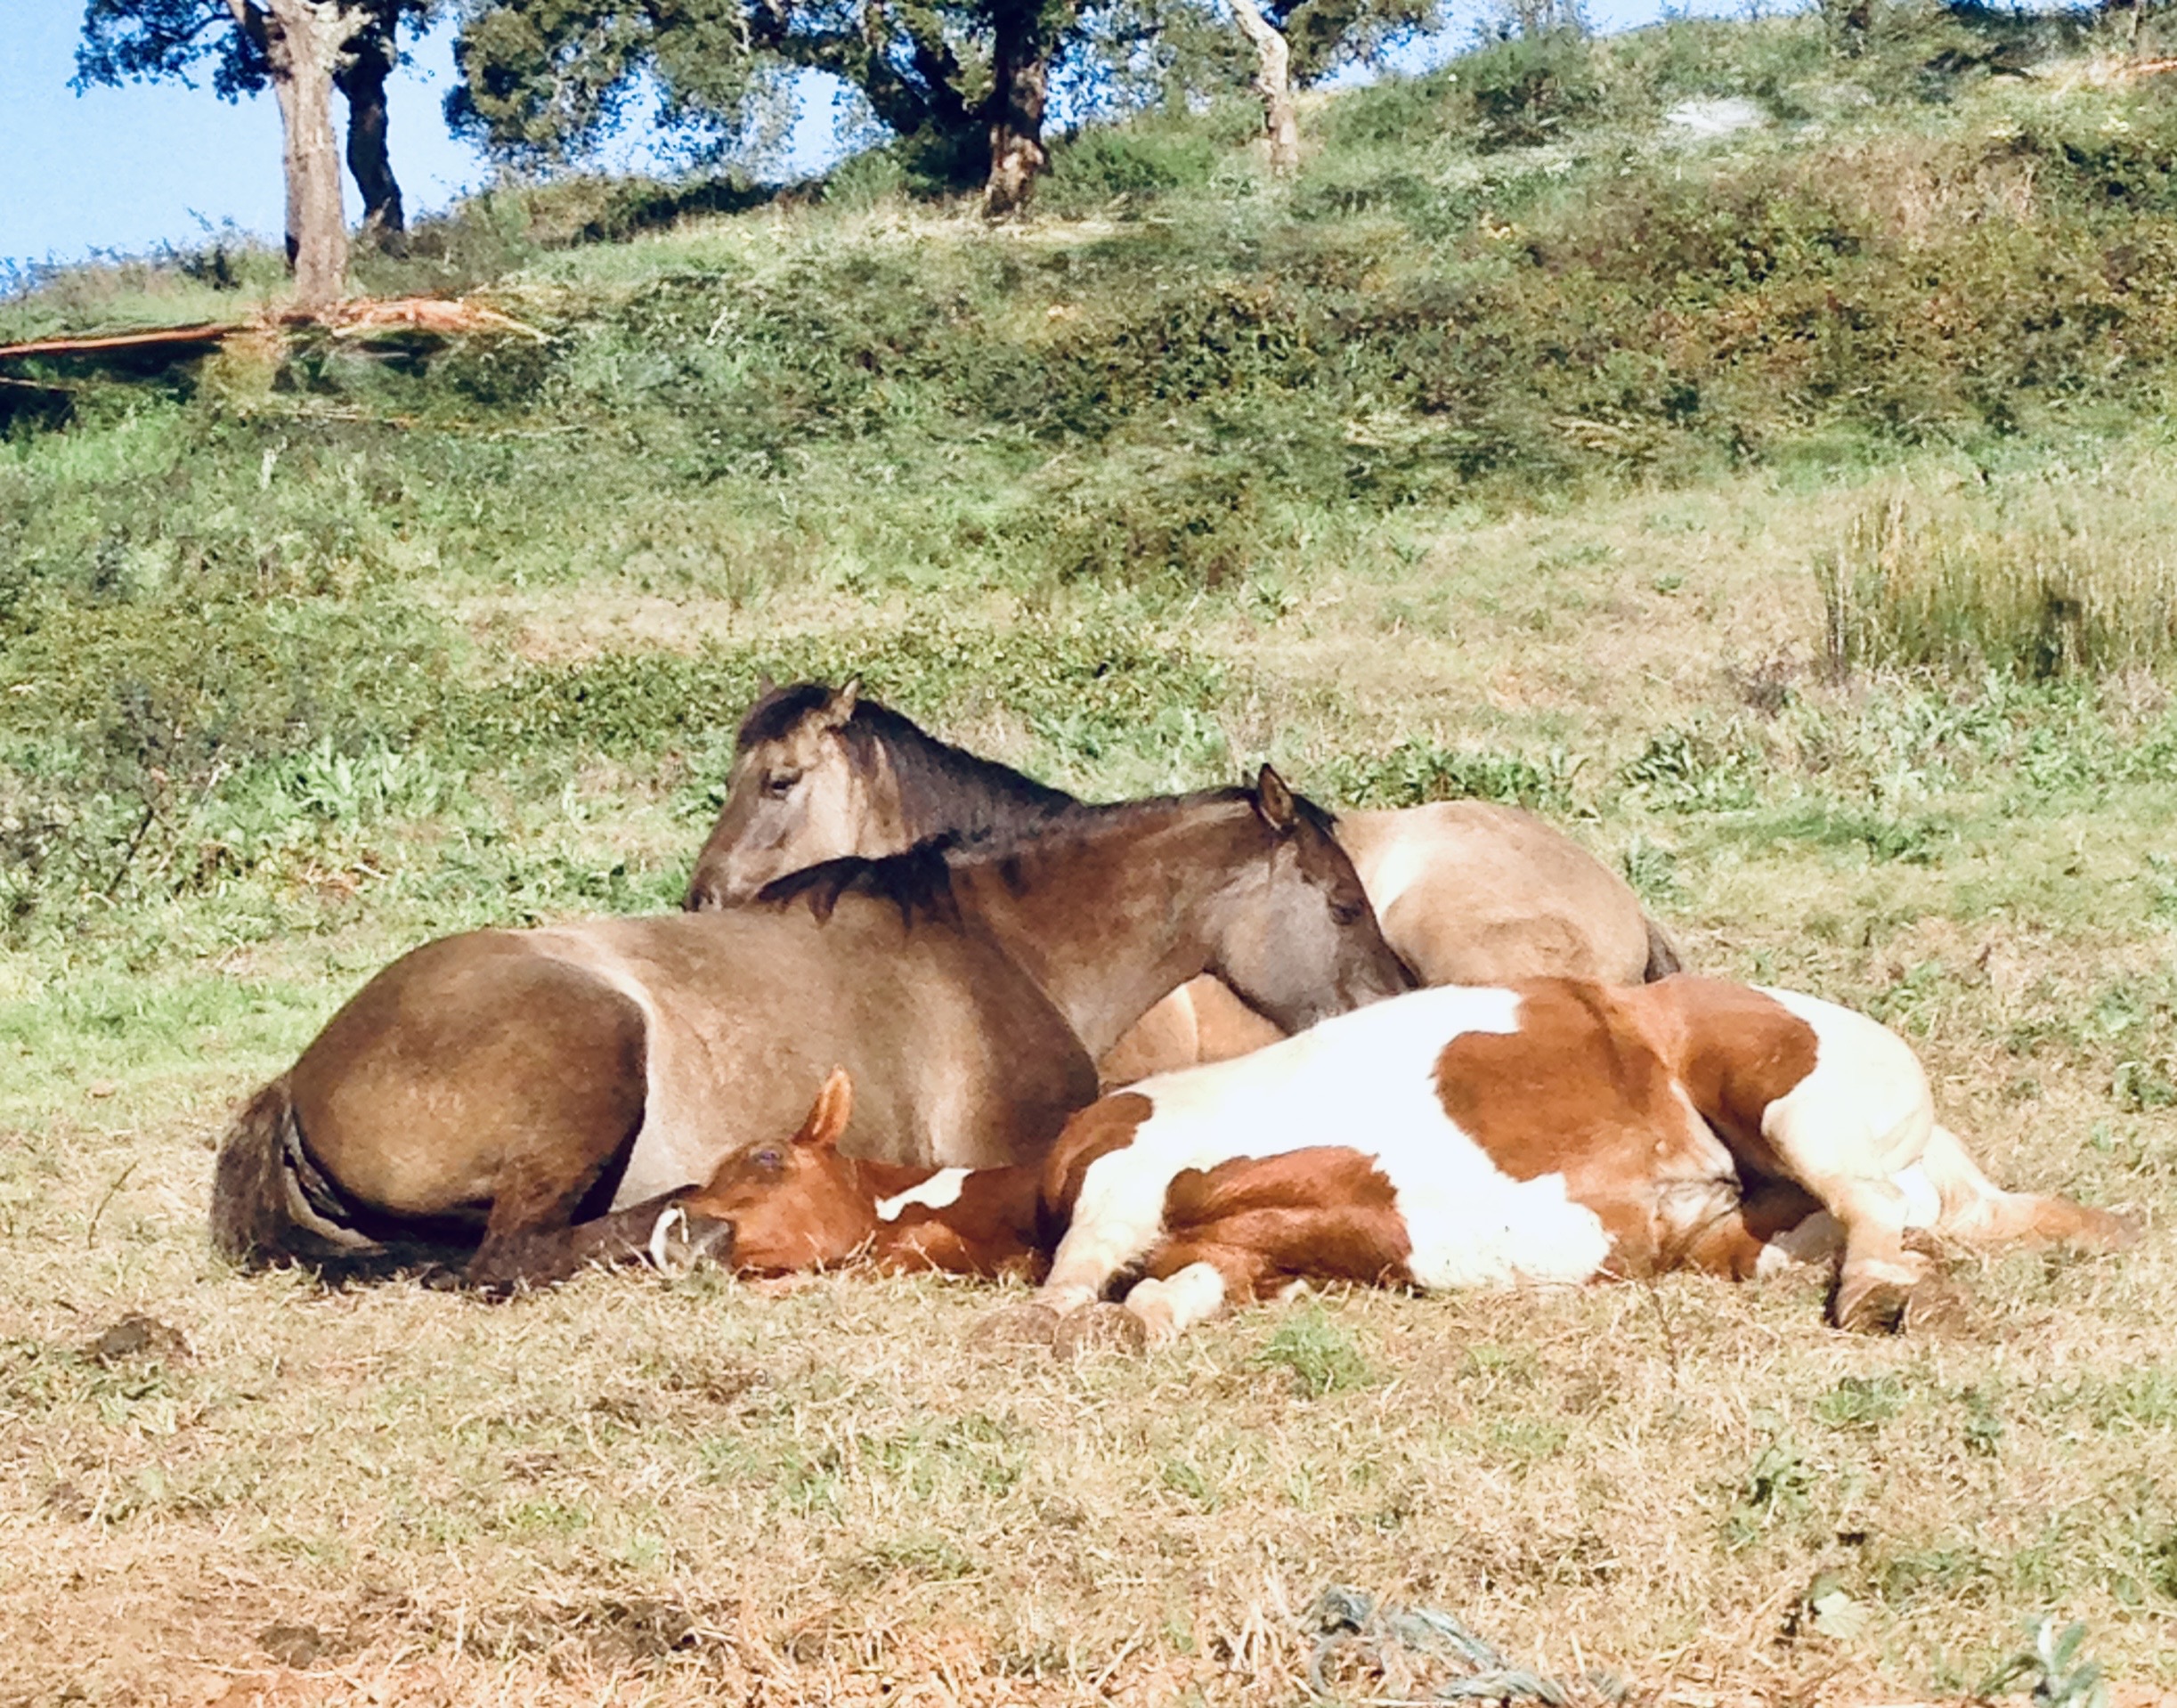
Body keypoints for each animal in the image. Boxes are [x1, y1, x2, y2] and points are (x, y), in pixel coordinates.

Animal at [208, 769, 1414, 1290]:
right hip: (595, 1050)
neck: (998, 948)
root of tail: (301, 1079)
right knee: (513, 1256)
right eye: (1341, 903)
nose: (1395, 999)